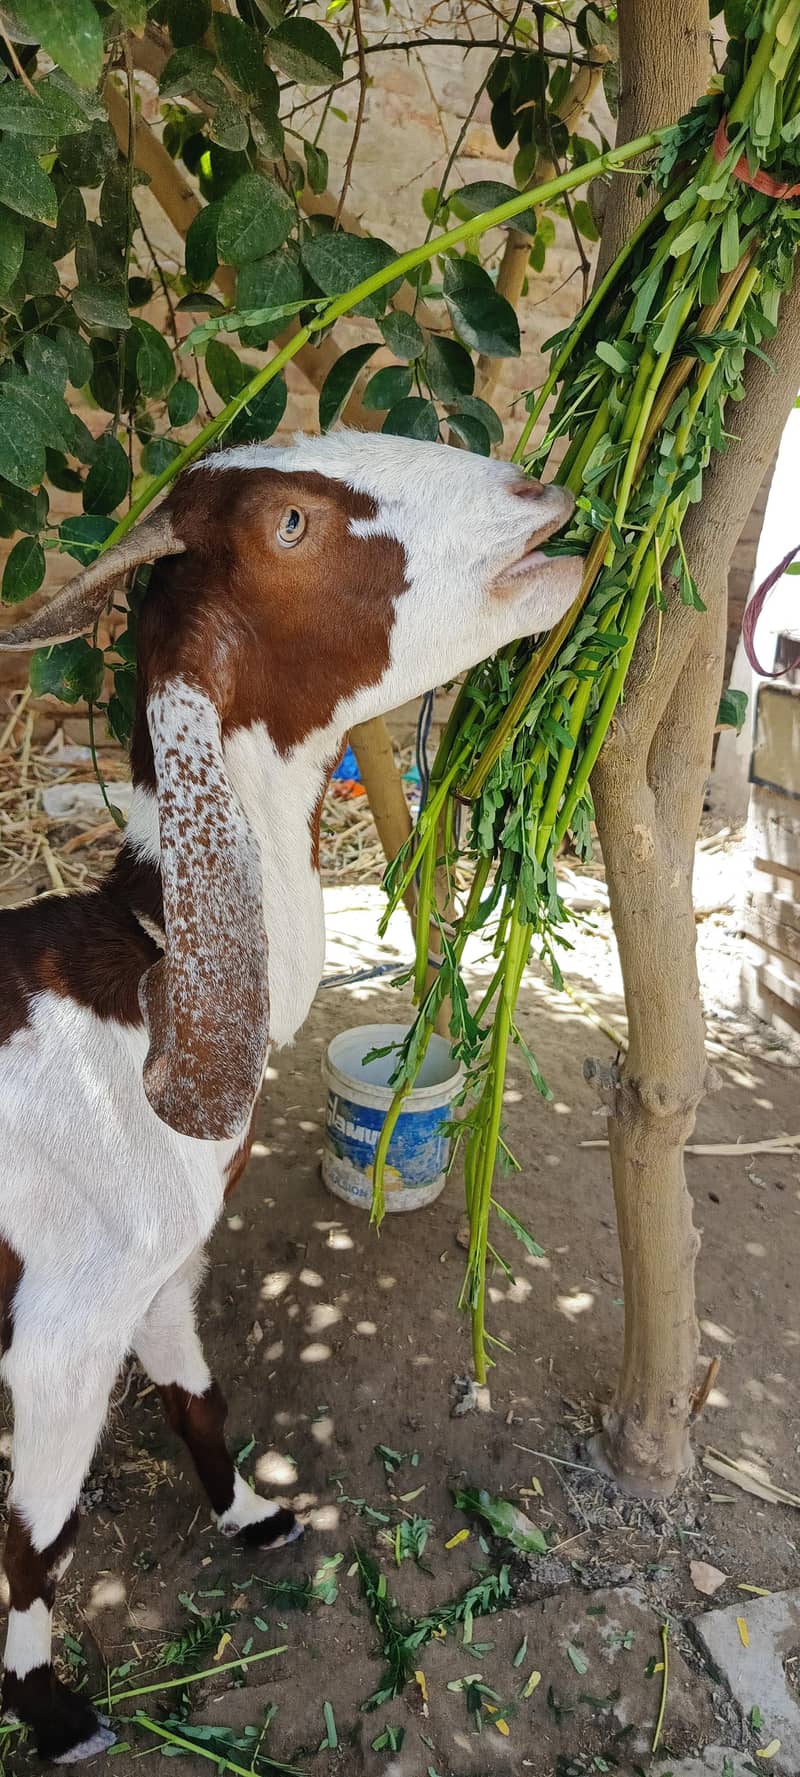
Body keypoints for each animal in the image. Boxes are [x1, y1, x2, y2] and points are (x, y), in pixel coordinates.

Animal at [0, 430, 580, 1761]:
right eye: (291, 526)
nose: (541, 495)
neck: (137, 977)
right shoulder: (57, 1334)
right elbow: (36, 1544)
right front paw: (54, 1715)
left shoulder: (162, 1269)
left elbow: (198, 1396)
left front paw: (253, 1517)